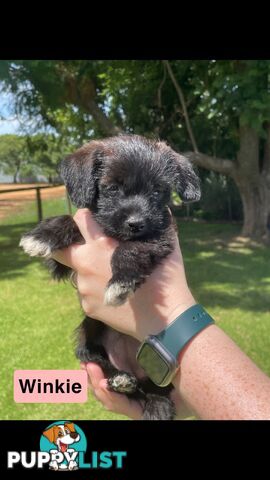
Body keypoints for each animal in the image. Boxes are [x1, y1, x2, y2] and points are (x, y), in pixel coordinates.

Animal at [19, 133, 200, 418]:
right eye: (112, 188)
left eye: (157, 191)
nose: (136, 223)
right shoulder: (65, 263)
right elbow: (70, 220)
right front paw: (43, 235)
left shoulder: (159, 236)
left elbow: (128, 249)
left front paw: (120, 281)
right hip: (88, 328)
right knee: (95, 357)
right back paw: (121, 379)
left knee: (157, 386)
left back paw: (155, 403)